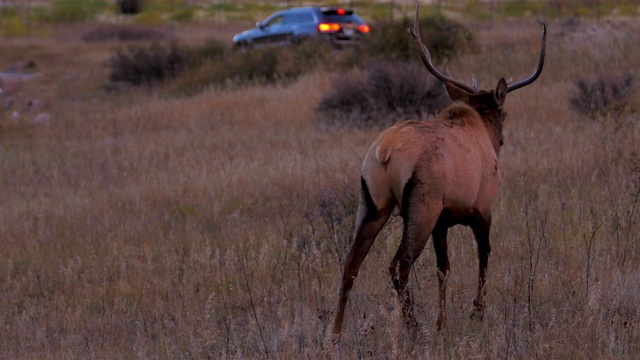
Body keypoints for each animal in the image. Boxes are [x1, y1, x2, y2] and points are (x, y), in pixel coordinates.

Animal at [332, 4, 548, 338]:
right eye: (505, 113)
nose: (502, 140)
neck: (480, 127)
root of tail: (384, 152)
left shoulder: (442, 222)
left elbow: (443, 268)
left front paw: (442, 322)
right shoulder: (482, 208)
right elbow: (484, 255)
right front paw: (477, 312)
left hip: (371, 202)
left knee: (350, 265)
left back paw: (335, 334)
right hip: (422, 205)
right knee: (398, 266)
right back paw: (414, 330)